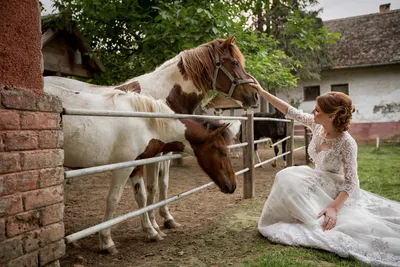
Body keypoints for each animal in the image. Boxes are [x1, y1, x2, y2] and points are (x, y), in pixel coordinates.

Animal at [43, 86, 238, 255]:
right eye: (222, 152)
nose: (233, 186)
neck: (145, 122)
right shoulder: (124, 167)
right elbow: (113, 200)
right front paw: (106, 242)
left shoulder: (137, 166)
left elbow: (142, 197)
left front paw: (151, 232)